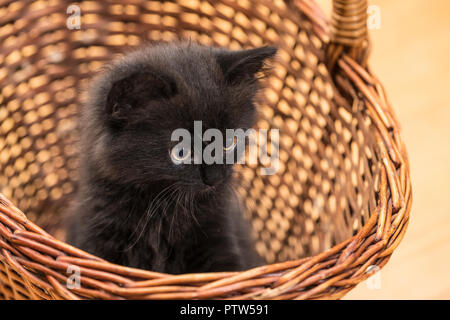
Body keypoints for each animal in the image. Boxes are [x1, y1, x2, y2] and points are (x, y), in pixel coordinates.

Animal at [66, 41, 278, 274]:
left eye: (229, 143)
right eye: (182, 152)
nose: (215, 178)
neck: (163, 210)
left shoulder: (219, 233)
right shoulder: (97, 233)